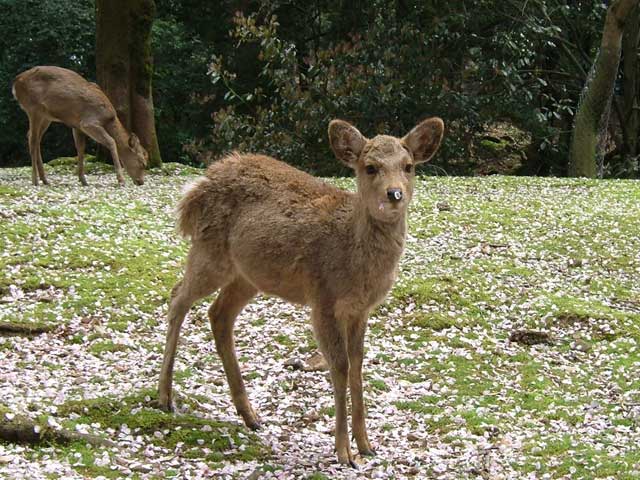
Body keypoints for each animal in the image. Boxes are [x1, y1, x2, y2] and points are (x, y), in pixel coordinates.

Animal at [12, 66, 148, 187]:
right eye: (142, 163)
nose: (141, 182)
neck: (108, 119)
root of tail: (15, 83)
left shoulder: (77, 125)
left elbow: (81, 148)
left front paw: (83, 180)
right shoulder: (88, 122)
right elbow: (111, 141)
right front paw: (121, 180)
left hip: (46, 116)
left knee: (33, 137)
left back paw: (44, 179)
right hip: (33, 109)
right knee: (33, 139)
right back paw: (35, 180)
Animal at [157, 117, 444, 466]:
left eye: (408, 166)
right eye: (370, 167)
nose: (394, 194)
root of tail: (194, 191)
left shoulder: (360, 309)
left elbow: (358, 363)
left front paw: (366, 445)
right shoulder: (322, 297)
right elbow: (339, 365)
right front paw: (344, 451)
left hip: (249, 274)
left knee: (218, 313)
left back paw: (250, 415)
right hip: (210, 252)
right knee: (177, 297)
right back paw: (165, 397)